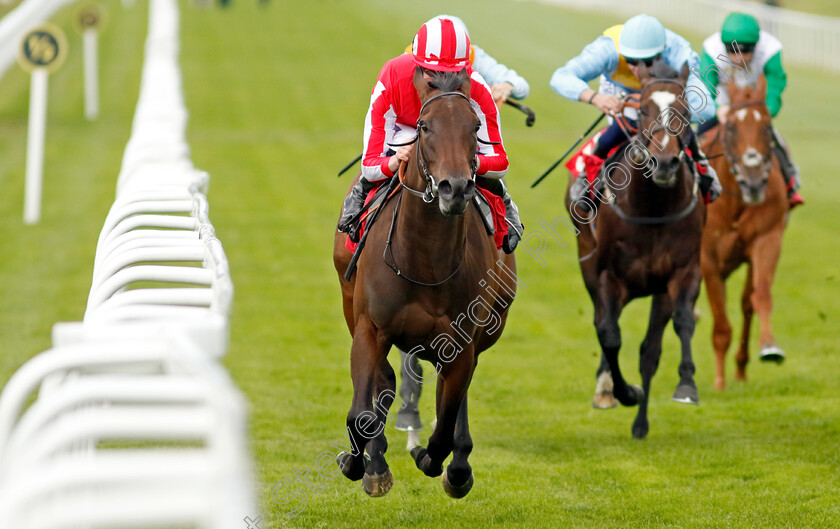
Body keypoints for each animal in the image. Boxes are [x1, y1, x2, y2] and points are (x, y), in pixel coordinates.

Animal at [332, 68, 516, 498]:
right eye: (424, 127)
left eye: (475, 126)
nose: (456, 188)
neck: (426, 262)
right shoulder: (370, 328)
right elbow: (361, 413)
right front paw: (361, 464)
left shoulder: (462, 343)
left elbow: (445, 429)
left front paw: (435, 460)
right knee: (383, 382)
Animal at [576, 62, 704, 440]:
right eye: (644, 110)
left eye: (685, 110)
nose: (664, 163)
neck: (652, 208)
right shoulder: (608, 276)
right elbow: (609, 335)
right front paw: (623, 392)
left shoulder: (683, 271)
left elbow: (680, 323)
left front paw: (686, 385)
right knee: (603, 325)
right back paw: (607, 390)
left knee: (650, 350)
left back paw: (640, 424)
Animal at [700, 76, 792, 388]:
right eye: (730, 127)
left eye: (766, 125)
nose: (753, 182)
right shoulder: (707, 258)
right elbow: (720, 324)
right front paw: (718, 382)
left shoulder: (767, 238)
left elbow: (759, 296)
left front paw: (770, 347)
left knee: (746, 301)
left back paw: (741, 369)